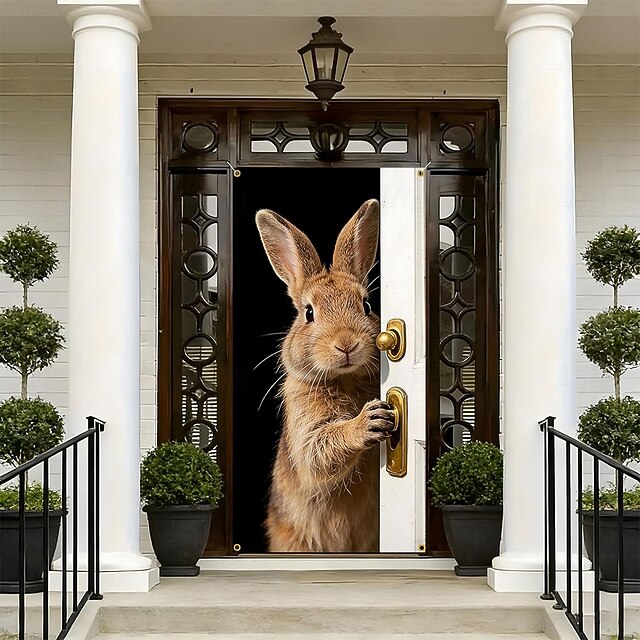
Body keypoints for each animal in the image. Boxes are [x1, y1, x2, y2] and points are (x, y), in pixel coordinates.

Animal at [255, 199, 396, 553]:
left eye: (366, 305)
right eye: (308, 313)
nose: (346, 344)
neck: (345, 378)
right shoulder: (306, 425)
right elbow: (318, 450)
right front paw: (369, 422)